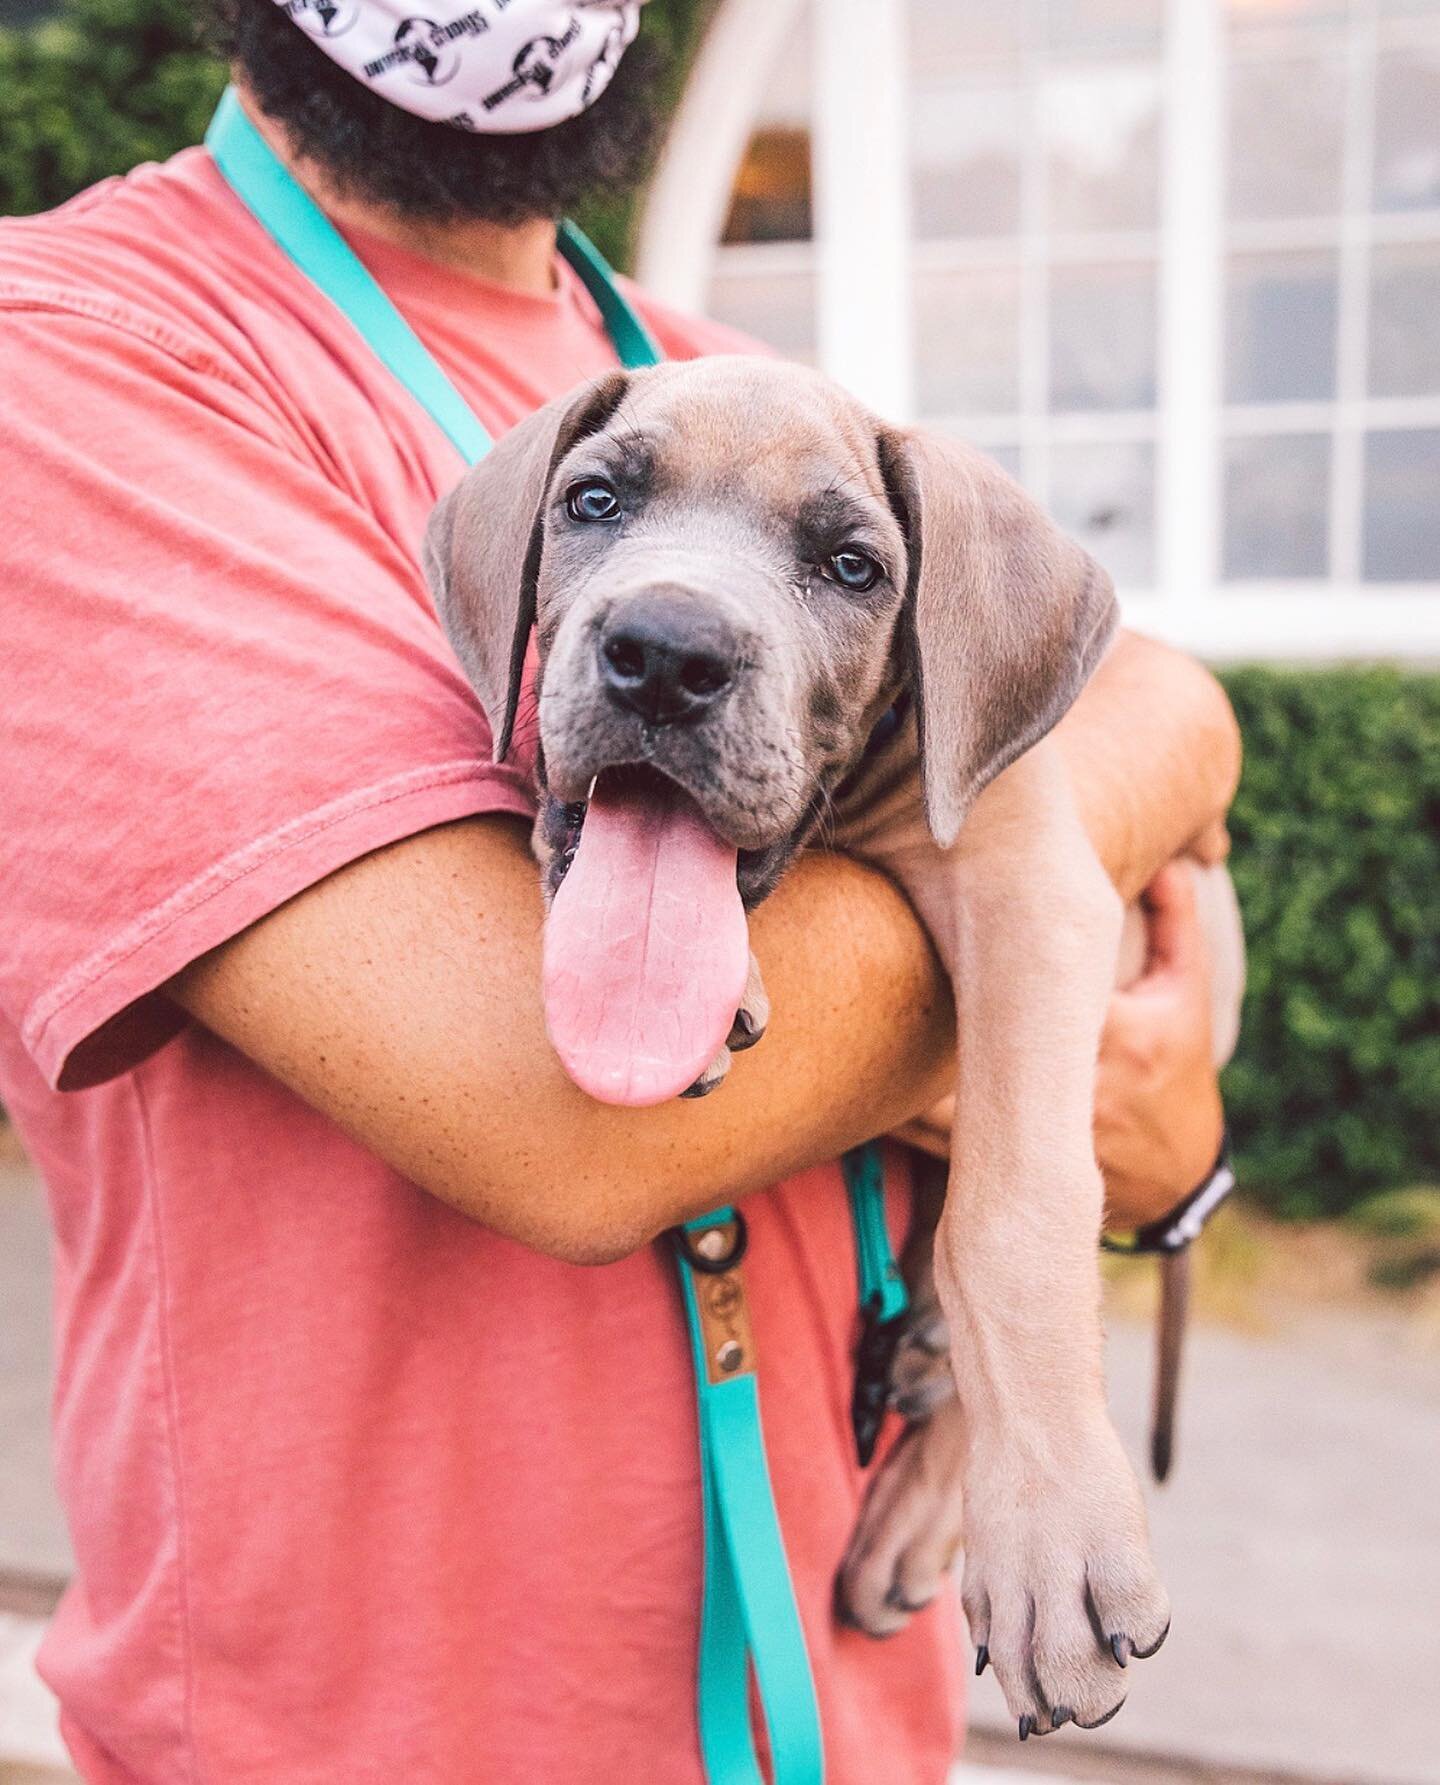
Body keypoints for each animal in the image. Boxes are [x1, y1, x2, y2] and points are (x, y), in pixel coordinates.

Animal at [424, 355, 1184, 1735]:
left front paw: (1051, 1527)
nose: (666, 654)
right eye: (594, 500)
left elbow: (1019, 1208)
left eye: (851, 568)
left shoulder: (1034, 885)